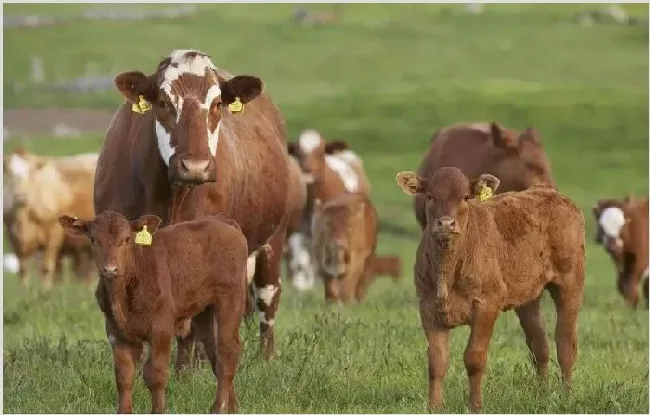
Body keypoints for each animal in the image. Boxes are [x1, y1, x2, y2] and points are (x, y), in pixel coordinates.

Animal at [2, 149, 96, 290]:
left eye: (31, 173)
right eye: (9, 172)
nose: (21, 196)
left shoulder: (53, 235)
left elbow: (46, 268)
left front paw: (46, 292)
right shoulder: (13, 239)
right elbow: (23, 270)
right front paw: (25, 291)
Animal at [58, 213, 248, 414]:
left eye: (127, 239)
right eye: (93, 239)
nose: (110, 269)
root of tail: (224, 222)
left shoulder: (161, 329)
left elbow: (155, 374)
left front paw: (158, 410)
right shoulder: (116, 332)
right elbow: (124, 376)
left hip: (231, 299)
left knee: (227, 351)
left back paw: (218, 408)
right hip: (204, 311)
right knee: (214, 354)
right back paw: (233, 407)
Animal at [93, 48, 288, 364]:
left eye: (217, 104)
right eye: (163, 102)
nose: (195, 166)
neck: (170, 198)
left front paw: (185, 369)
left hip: (274, 237)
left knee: (267, 297)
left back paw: (266, 356)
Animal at [392, 167, 584, 412]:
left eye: (465, 196)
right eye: (430, 196)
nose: (446, 223)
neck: (448, 269)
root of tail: (548, 191)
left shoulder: (486, 306)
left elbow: (474, 358)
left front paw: (475, 405)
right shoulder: (428, 308)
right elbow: (436, 361)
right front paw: (434, 407)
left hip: (570, 284)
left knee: (566, 342)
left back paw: (566, 395)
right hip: (528, 297)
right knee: (539, 343)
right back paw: (542, 394)